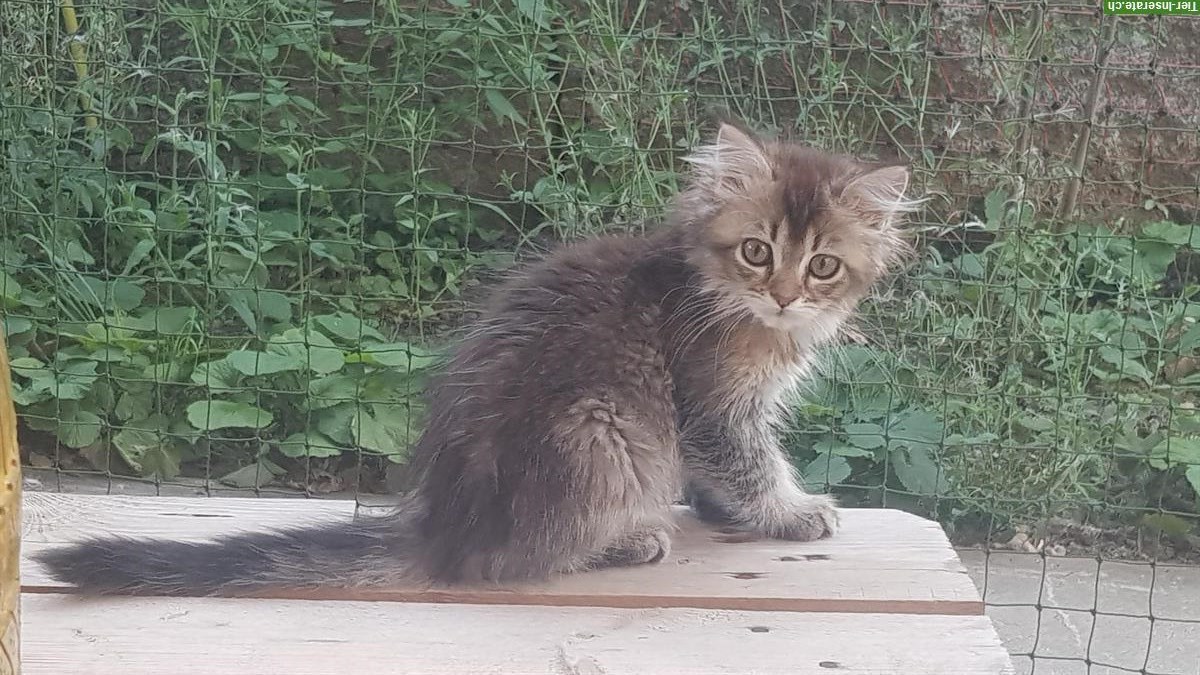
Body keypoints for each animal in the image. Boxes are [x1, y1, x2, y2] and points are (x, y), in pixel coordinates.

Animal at [35, 121, 916, 593]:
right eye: (758, 251)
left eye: (823, 266)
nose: (786, 296)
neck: (722, 295)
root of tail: (446, 527)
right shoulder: (709, 406)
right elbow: (752, 464)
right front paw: (791, 510)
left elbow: (726, 475)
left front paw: (728, 511)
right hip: (604, 428)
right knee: (514, 560)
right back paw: (623, 540)